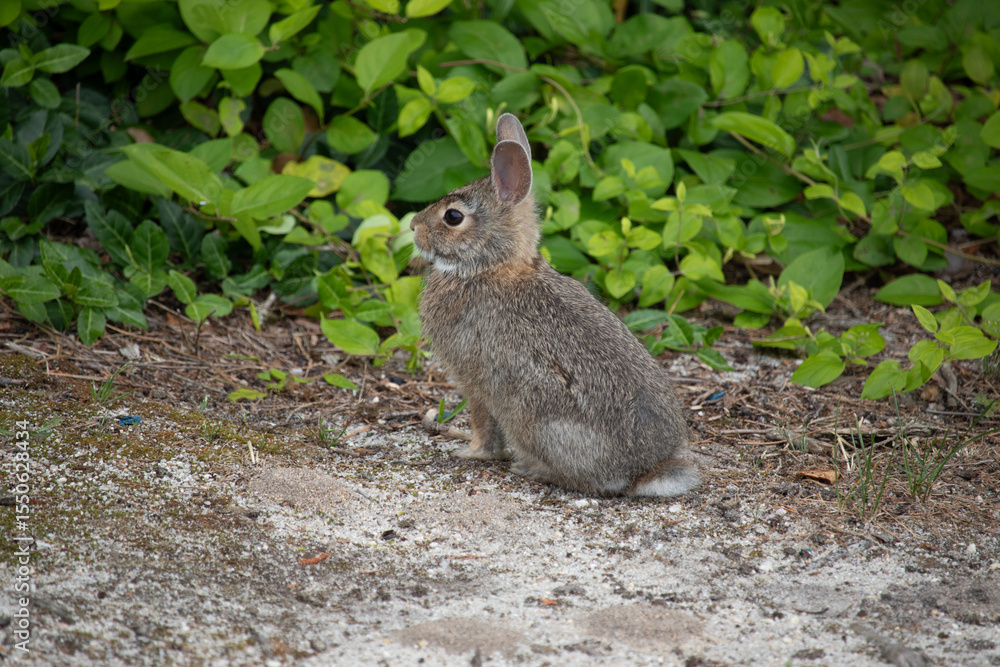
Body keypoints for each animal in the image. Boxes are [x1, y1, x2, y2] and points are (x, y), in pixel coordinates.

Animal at [409, 113, 698, 497]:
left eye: (452, 217)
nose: (413, 226)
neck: (490, 266)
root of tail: (645, 472)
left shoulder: (475, 380)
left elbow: (484, 426)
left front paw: (469, 452)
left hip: (534, 415)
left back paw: (531, 469)